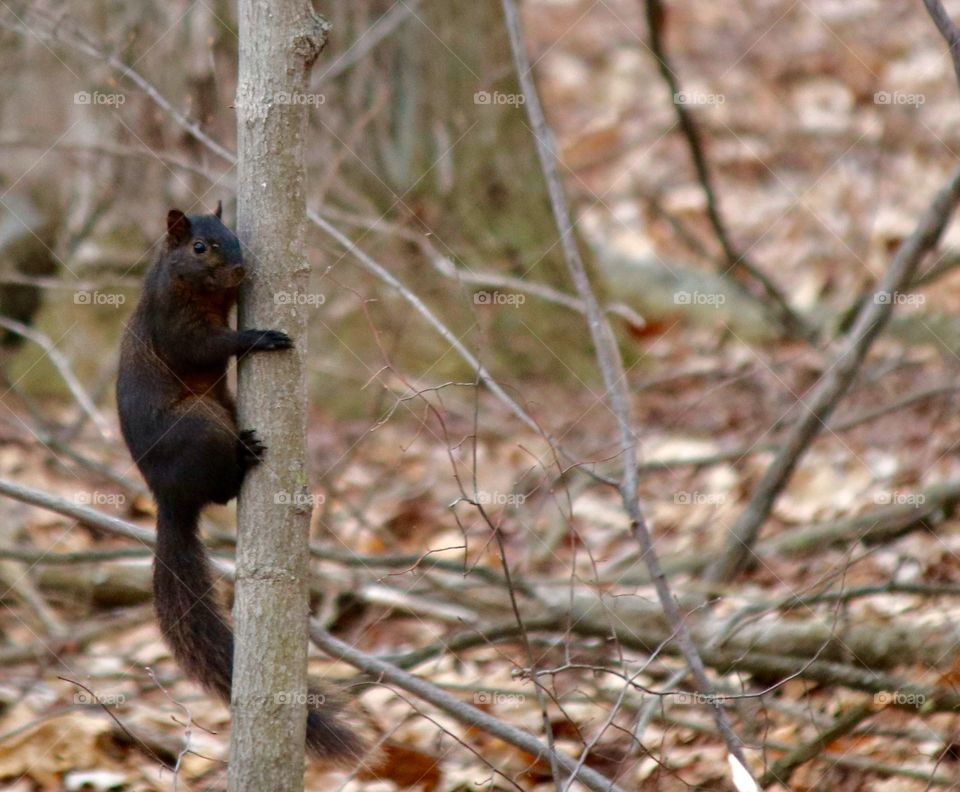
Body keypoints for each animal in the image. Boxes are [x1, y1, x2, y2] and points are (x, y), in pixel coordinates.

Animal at [116, 205, 362, 761]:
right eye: (200, 247)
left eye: (234, 235)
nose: (239, 269)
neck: (192, 287)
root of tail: (167, 498)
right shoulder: (173, 323)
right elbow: (201, 348)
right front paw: (258, 338)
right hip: (203, 425)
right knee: (220, 489)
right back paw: (245, 457)